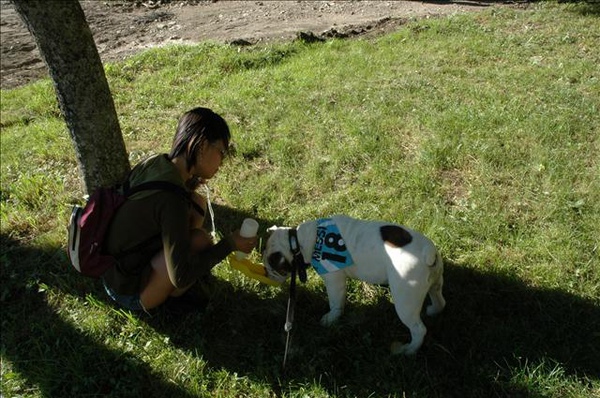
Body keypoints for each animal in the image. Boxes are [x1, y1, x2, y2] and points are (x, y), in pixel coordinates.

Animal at [262, 216, 446, 356]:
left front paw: (331, 318)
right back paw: (433, 311)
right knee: (440, 301)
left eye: (273, 267)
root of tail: (427, 252)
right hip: (435, 282)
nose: (265, 272)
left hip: (405, 301)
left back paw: (409, 350)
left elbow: (336, 303)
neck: (298, 242)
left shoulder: (334, 279)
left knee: (419, 329)